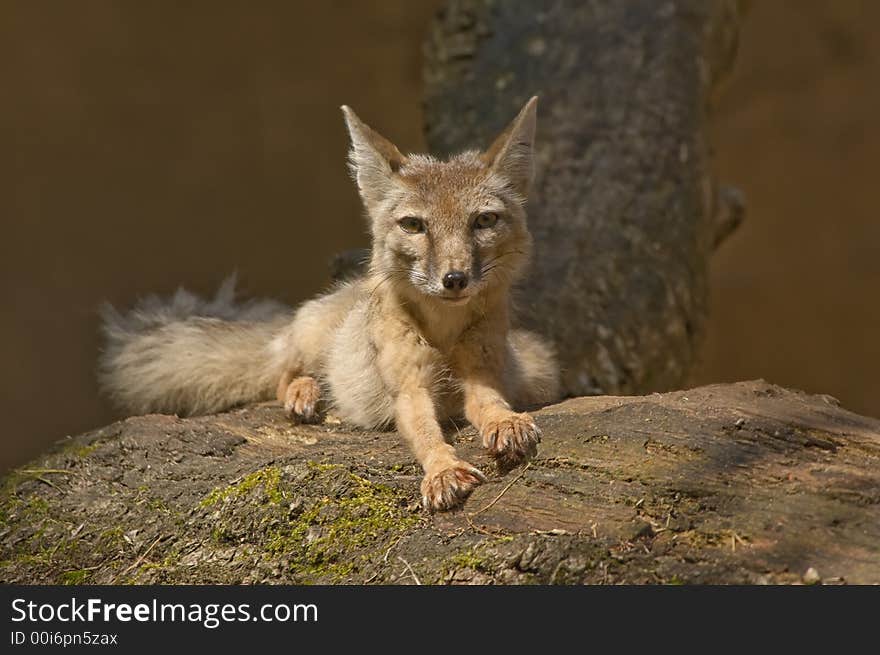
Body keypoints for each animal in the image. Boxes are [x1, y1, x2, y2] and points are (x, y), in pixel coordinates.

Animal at [99, 98, 560, 512]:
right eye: (414, 225)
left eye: (484, 221)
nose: (454, 279)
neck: (444, 333)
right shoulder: (409, 390)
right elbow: (426, 434)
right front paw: (443, 470)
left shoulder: (483, 374)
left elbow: (491, 405)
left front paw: (505, 424)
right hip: (309, 340)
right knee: (281, 374)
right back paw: (304, 391)